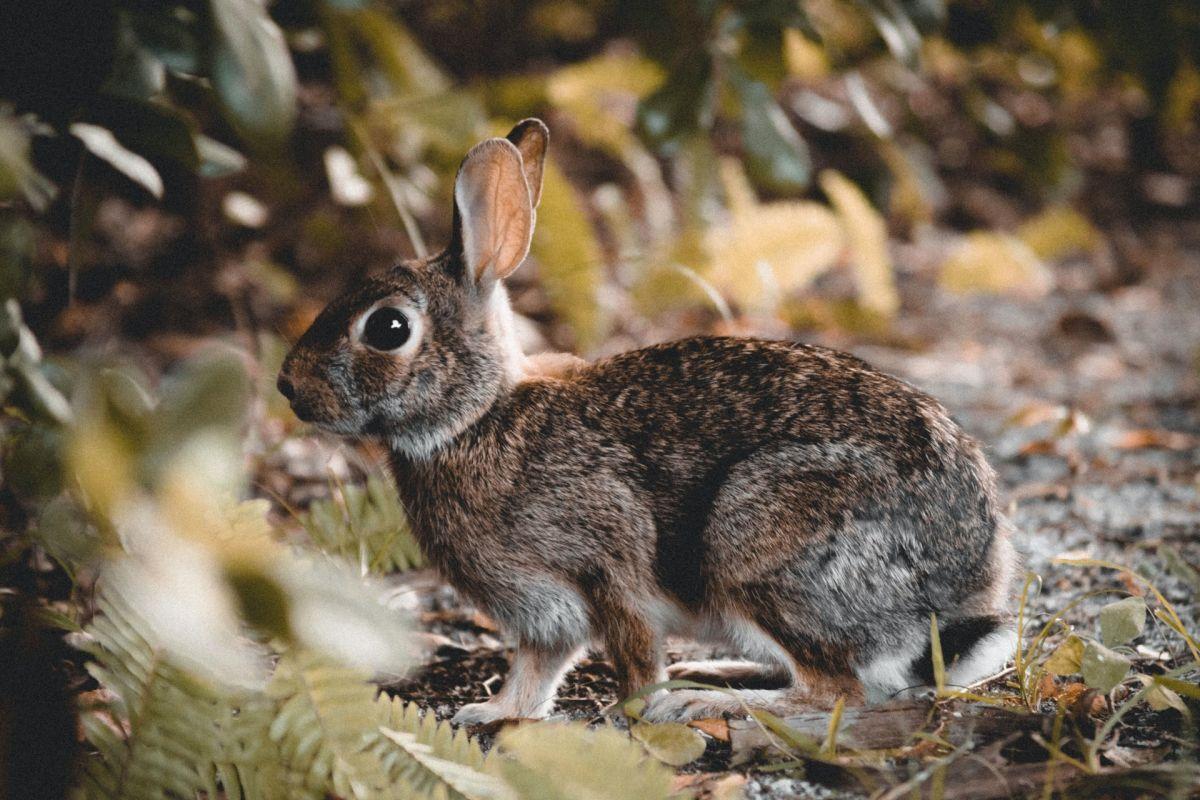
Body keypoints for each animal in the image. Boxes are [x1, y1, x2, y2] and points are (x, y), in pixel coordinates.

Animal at [276, 118, 1017, 724]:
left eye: (388, 329)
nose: (289, 386)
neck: (478, 416)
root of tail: (965, 583)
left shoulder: (607, 563)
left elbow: (629, 650)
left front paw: (637, 709)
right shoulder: (545, 613)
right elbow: (535, 671)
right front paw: (492, 714)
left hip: (761, 538)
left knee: (839, 690)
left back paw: (707, 701)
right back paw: (714, 673)